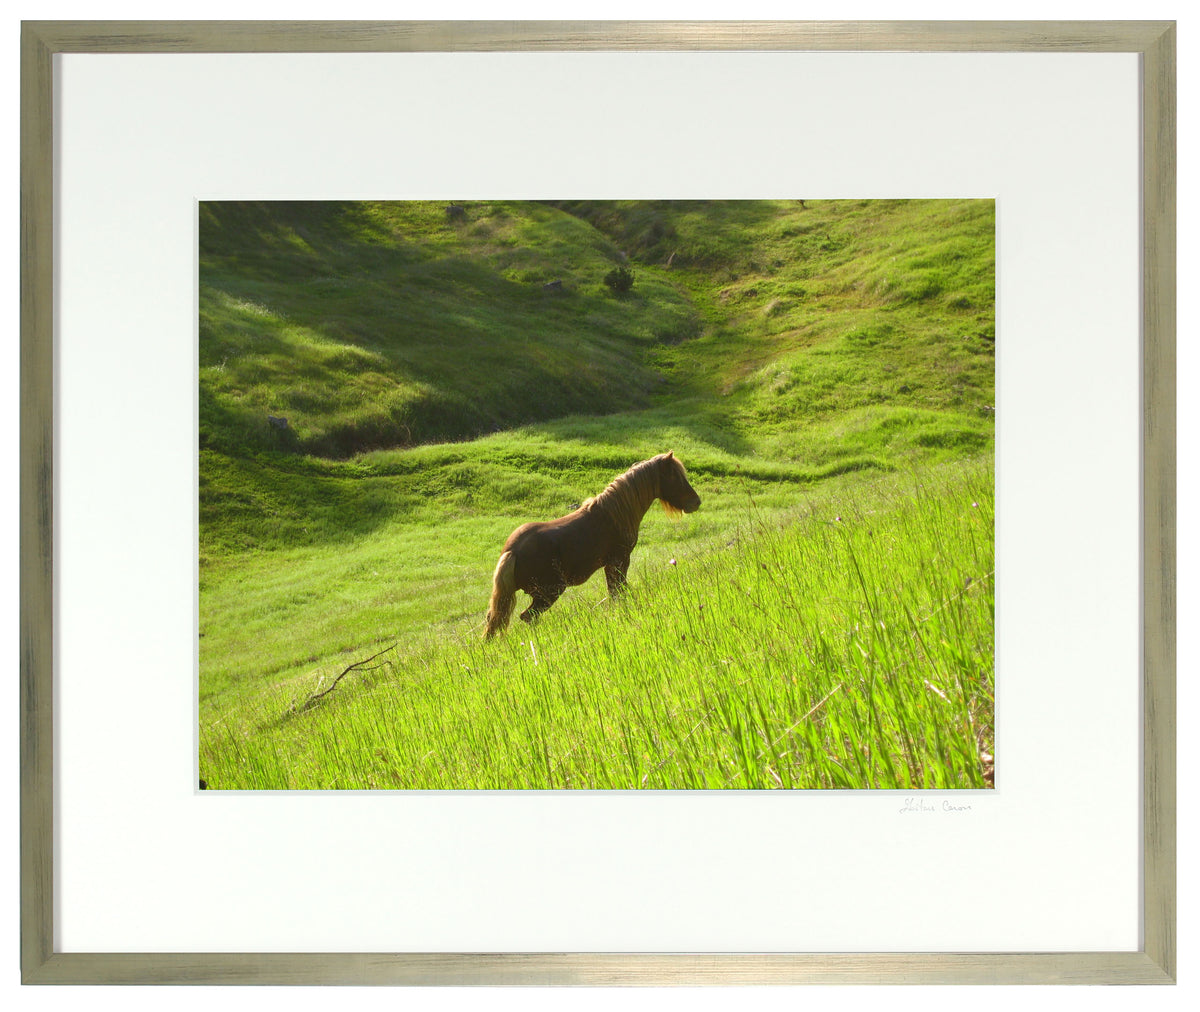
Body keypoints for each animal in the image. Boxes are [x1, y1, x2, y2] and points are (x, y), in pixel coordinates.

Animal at [483, 452, 701, 638]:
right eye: (675, 476)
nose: (696, 502)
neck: (614, 514)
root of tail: (511, 552)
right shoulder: (618, 561)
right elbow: (618, 593)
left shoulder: (611, 565)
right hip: (549, 593)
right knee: (528, 617)